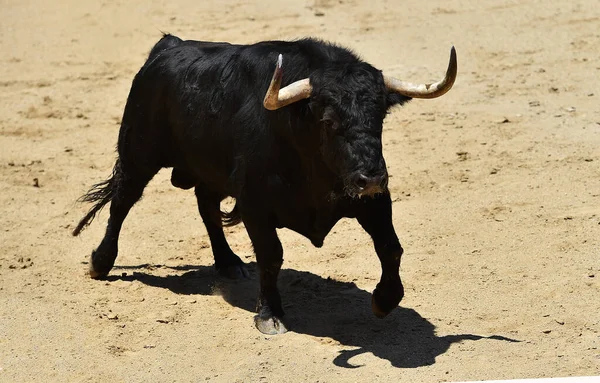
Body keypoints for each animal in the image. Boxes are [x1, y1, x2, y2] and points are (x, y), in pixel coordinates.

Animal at [72, 35, 454, 336]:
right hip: (139, 153)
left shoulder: (370, 200)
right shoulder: (255, 203)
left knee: (206, 205)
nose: (371, 177)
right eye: (329, 120)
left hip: (210, 171)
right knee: (123, 201)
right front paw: (270, 314)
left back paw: (228, 262)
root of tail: (169, 46)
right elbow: (272, 255)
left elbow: (390, 247)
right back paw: (101, 262)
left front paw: (385, 300)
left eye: (380, 116)